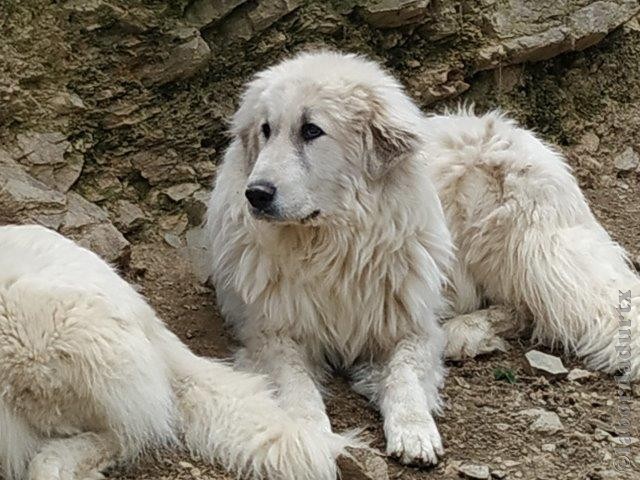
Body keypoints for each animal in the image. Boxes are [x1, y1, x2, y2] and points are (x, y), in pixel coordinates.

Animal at [206, 51, 640, 468]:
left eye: (311, 130)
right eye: (266, 130)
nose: (256, 194)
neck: (333, 243)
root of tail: (517, 132)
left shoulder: (410, 326)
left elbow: (405, 377)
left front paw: (414, 431)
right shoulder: (272, 334)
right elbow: (297, 385)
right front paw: (309, 430)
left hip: (525, 247)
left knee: (530, 306)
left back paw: (463, 332)